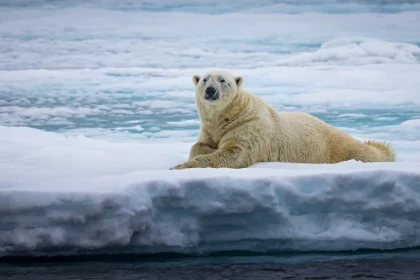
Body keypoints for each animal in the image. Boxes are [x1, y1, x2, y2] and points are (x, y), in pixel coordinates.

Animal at [169, 71, 396, 170]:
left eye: (223, 80)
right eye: (205, 79)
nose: (210, 90)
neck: (230, 114)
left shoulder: (248, 127)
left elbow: (234, 154)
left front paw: (180, 166)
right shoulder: (210, 128)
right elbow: (200, 145)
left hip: (335, 147)